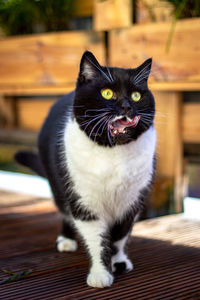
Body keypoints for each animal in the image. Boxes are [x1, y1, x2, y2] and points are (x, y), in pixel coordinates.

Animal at [15, 51, 156, 288]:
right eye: (107, 93)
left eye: (136, 96)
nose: (127, 107)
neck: (113, 152)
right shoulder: (84, 201)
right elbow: (97, 239)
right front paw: (101, 274)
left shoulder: (132, 200)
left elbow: (120, 235)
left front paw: (118, 262)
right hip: (59, 184)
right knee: (63, 209)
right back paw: (66, 240)